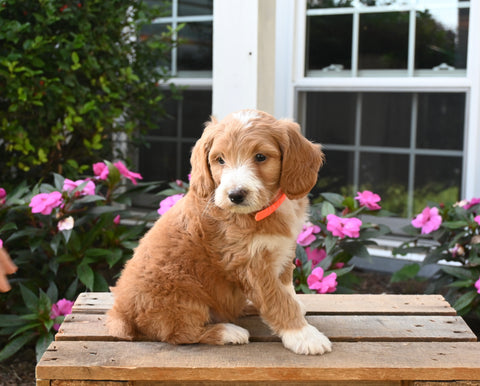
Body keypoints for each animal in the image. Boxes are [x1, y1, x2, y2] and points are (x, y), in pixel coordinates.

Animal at [108, 108, 334, 356]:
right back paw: (228, 332)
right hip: (182, 296)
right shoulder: (251, 265)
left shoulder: (282, 251)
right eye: (220, 159)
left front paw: (297, 309)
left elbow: (285, 286)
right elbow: (277, 300)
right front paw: (303, 335)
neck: (264, 209)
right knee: (181, 334)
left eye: (260, 157)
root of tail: (121, 314)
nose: (235, 195)